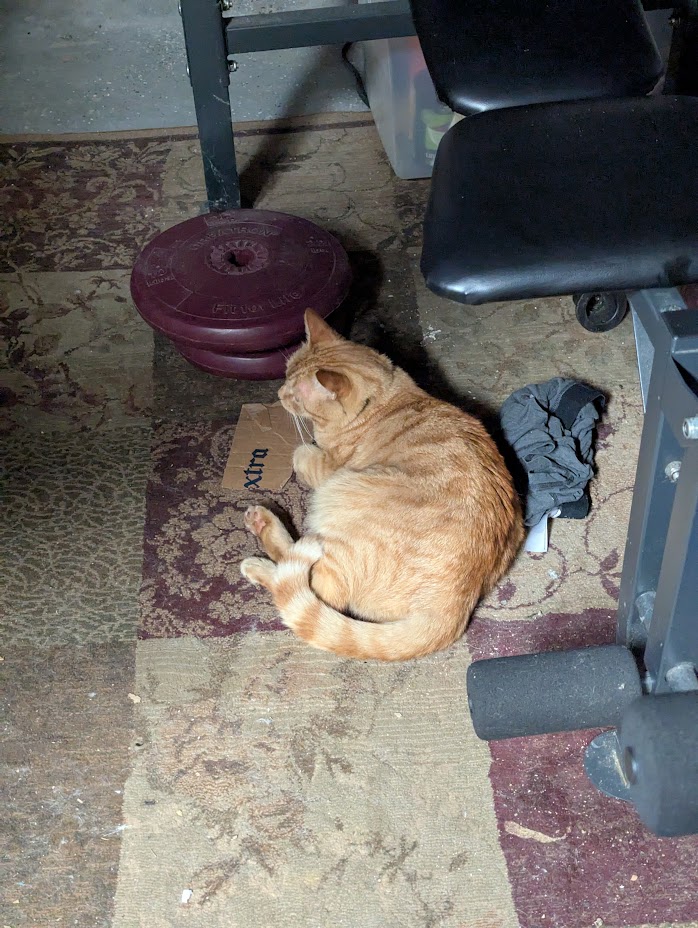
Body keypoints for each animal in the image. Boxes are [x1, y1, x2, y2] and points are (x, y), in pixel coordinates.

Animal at [240, 310, 524, 661]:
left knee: (303, 582)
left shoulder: (328, 468)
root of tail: (458, 604)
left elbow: (302, 453)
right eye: (284, 377)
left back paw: (259, 550)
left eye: (295, 395)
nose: (279, 395)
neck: (383, 397)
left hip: (339, 495)